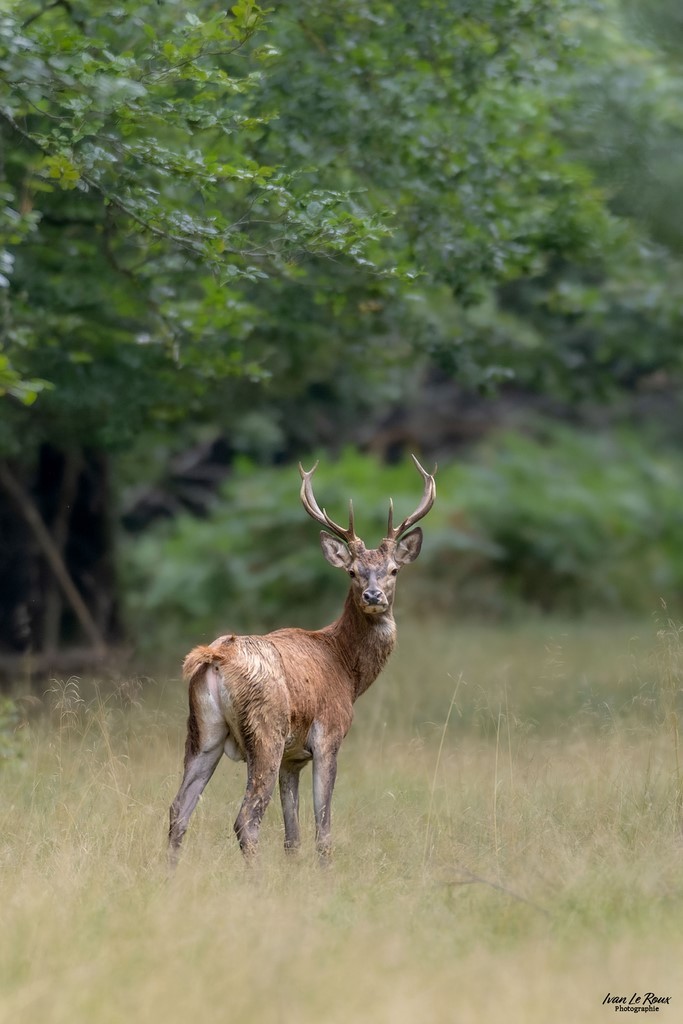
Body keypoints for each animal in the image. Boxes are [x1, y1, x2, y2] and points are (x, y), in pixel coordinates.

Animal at [168, 455, 436, 866]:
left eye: (393, 570)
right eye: (352, 572)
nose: (374, 596)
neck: (346, 670)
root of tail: (216, 655)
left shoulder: (293, 759)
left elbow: (292, 837)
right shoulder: (328, 736)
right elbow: (322, 830)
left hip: (202, 733)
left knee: (178, 810)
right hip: (266, 732)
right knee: (246, 819)